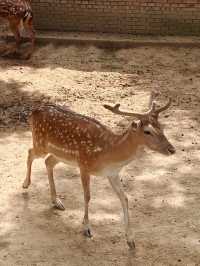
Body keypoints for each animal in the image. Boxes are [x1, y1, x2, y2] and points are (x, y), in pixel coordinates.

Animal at [22, 92, 175, 248]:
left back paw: (56, 201)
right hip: (40, 143)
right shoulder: (84, 165)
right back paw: (25, 184)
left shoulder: (112, 174)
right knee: (30, 152)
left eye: (162, 128)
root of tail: (34, 111)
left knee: (48, 162)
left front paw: (130, 240)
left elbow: (125, 198)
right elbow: (87, 196)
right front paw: (86, 228)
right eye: (147, 131)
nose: (172, 149)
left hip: (61, 155)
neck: (109, 153)